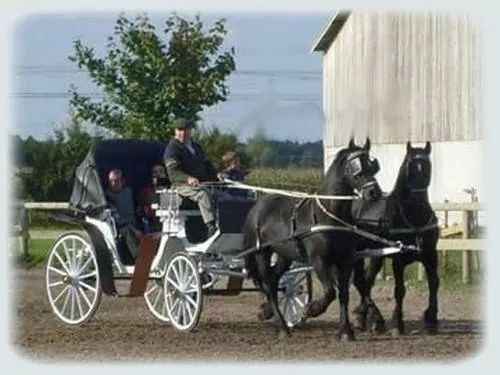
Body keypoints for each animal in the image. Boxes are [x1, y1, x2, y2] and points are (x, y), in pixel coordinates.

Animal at [244, 139, 380, 340]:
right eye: (355, 167)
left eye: (372, 165)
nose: (374, 192)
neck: (329, 215)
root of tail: (257, 207)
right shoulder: (319, 260)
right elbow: (330, 292)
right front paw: (312, 309)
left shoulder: (345, 260)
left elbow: (344, 295)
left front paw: (346, 331)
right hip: (262, 252)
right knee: (268, 284)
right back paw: (282, 327)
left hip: (284, 255)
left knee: (275, 281)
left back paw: (272, 315)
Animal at [354, 141, 440, 334]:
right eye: (410, 166)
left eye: (427, 166)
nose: (418, 199)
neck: (415, 219)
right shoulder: (398, 260)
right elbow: (399, 290)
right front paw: (397, 323)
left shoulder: (430, 255)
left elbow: (434, 283)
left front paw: (431, 319)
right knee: (362, 281)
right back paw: (366, 318)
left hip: (376, 256)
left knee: (367, 281)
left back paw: (364, 317)